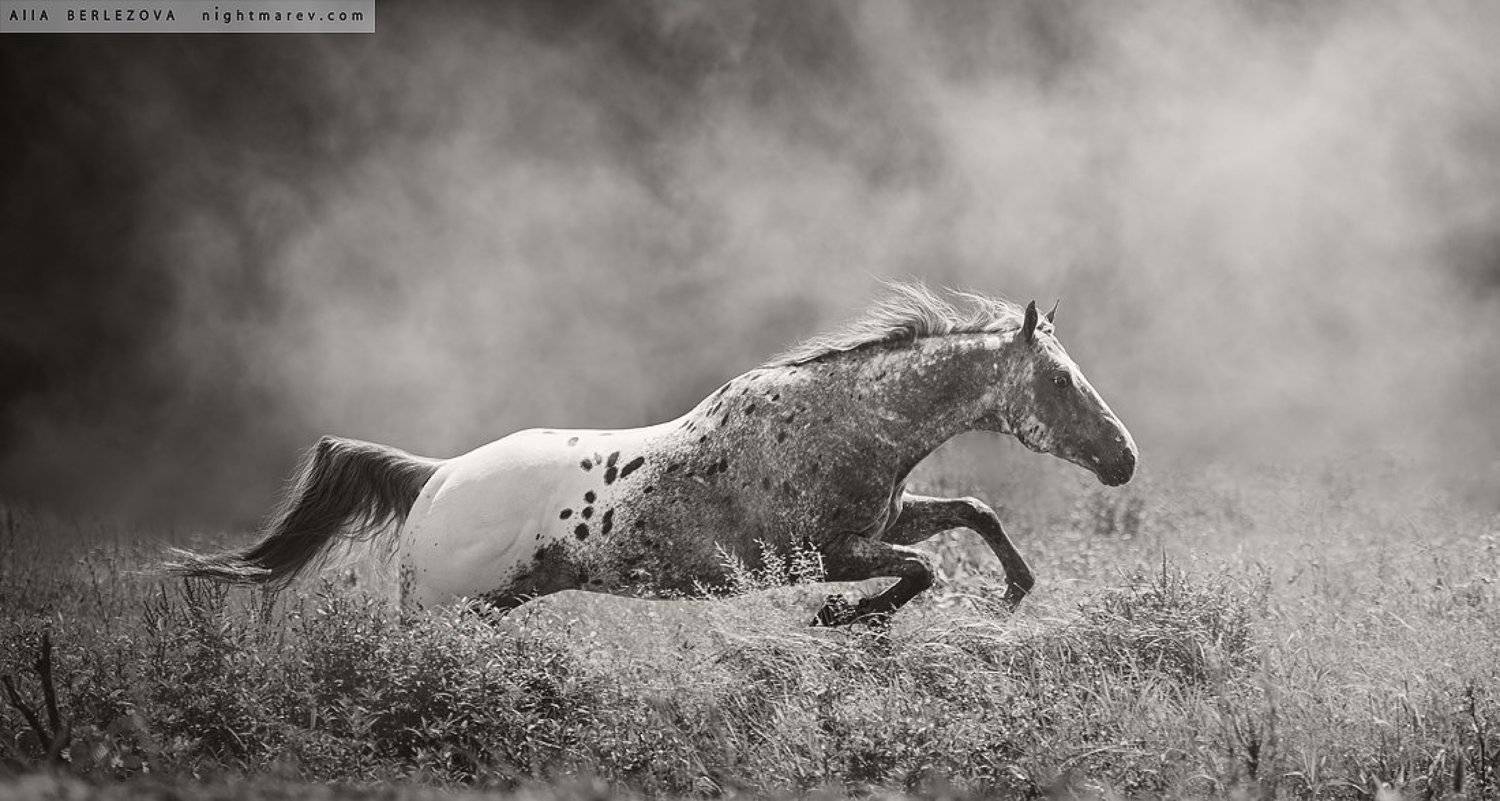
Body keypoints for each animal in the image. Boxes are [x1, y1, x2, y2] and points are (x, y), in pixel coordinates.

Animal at [166, 284, 1136, 625]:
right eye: (1059, 380)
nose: (1124, 458)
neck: (847, 420)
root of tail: (435, 478)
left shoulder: (886, 519)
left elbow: (974, 514)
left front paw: (1016, 589)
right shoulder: (823, 550)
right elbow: (920, 571)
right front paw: (842, 618)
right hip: (436, 611)